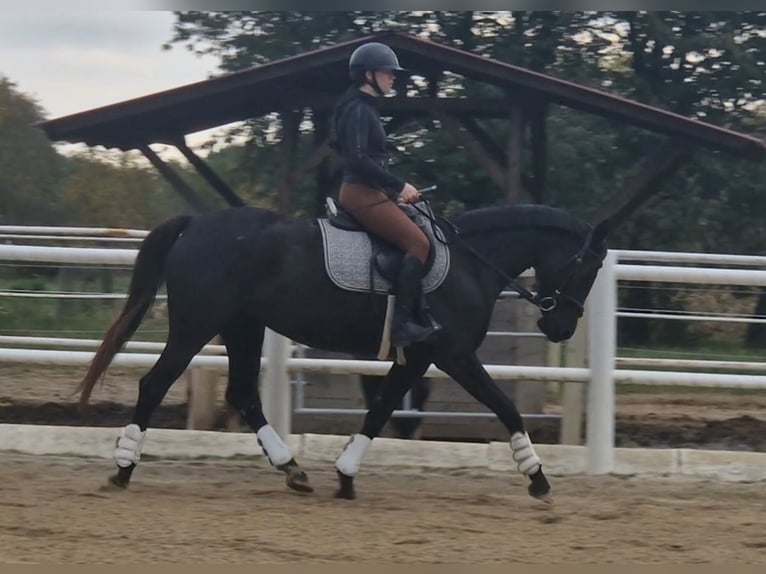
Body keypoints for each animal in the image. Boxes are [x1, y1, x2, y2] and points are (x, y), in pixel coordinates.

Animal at [76, 201, 608, 504]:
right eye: (586, 267)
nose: (560, 326)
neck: (470, 263)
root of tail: (197, 224)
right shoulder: (452, 354)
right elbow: (504, 406)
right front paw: (538, 477)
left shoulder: (418, 358)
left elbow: (381, 410)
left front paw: (346, 475)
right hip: (197, 326)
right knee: (155, 384)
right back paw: (122, 469)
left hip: (243, 327)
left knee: (244, 394)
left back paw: (292, 470)